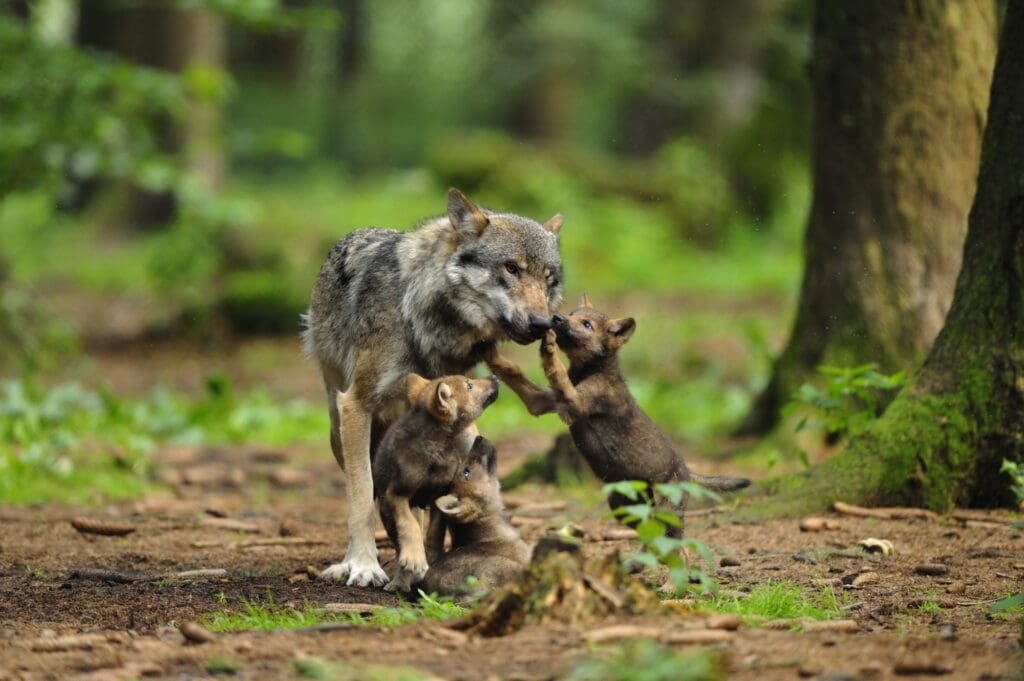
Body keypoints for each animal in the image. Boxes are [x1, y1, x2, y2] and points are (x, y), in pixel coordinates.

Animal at [299, 186, 565, 585]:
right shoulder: (357, 405)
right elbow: (362, 499)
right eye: (511, 268)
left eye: (548, 278)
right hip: (339, 428)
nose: (541, 324)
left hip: (462, 432)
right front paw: (363, 565)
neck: (422, 314)